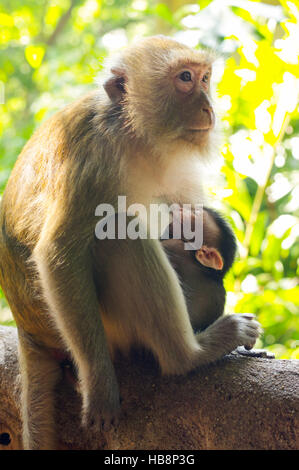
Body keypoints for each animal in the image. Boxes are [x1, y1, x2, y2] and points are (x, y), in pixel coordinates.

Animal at [0, 35, 262, 448]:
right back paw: (188, 356)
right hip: (98, 329)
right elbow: (60, 255)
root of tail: (29, 330)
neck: (136, 139)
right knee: (120, 232)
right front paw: (100, 386)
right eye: (185, 78)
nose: (208, 106)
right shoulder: (91, 159)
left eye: (205, 78)